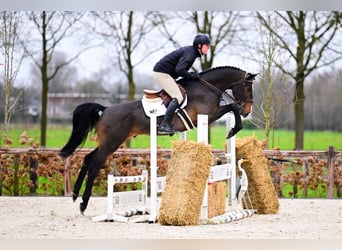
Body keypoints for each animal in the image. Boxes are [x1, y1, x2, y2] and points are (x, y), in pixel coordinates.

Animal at [59, 65, 256, 214]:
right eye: (248, 87)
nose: (247, 111)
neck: (207, 87)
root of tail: (105, 109)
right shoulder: (208, 115)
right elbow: (232, 107)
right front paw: (233, 130)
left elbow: (231, 107)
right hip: (111, 143)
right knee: (94, 167)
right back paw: (83, 204)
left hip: (109, 142)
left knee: (87, 159)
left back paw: (75, 194)